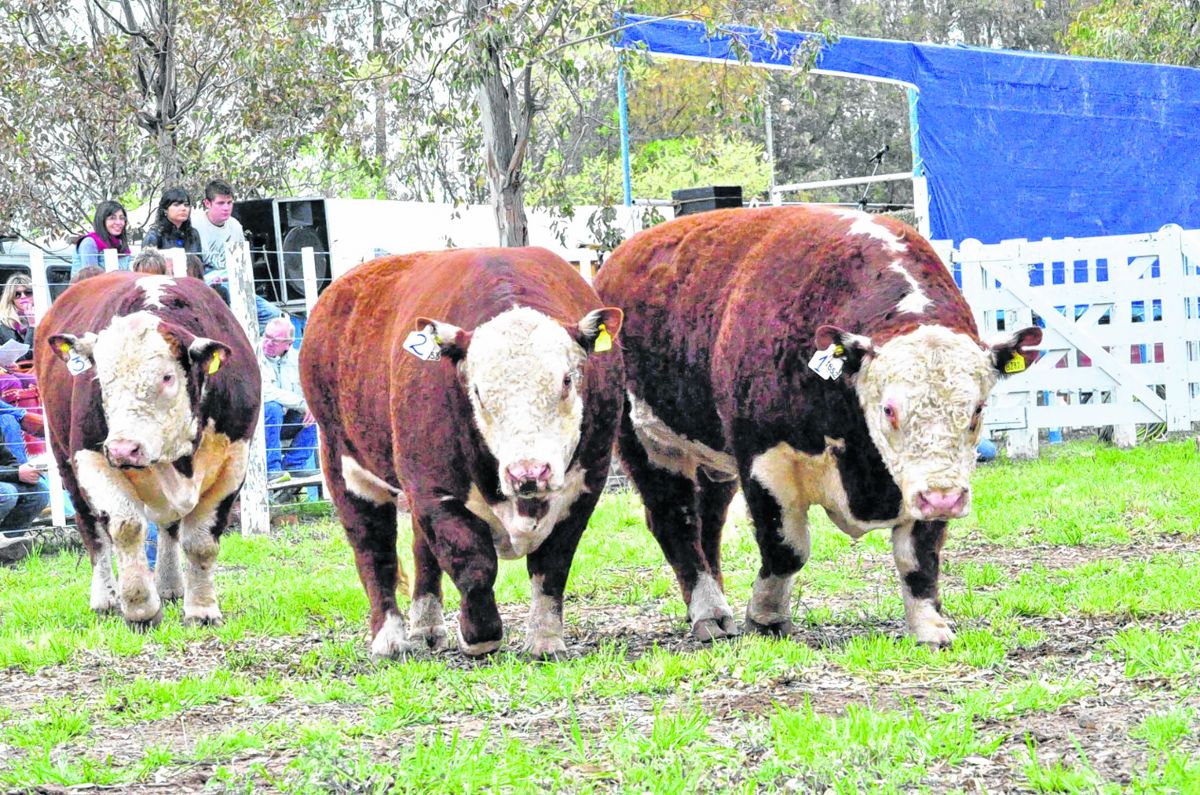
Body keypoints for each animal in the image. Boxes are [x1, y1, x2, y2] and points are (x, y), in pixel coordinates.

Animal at [35, 272, 260, 630]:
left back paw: (169, 585)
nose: (124, 449)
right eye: (101, 380)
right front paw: (141, 609)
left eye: (167, 377)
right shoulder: (91, 457)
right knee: (93, 531)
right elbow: (126, 527)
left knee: (169, 528)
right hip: (64, 461)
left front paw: (202, 610)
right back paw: (105, 599)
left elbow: (200, 542)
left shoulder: (233, 464)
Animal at [299, 247, 624, 659]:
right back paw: (389, 638)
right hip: (344, 463)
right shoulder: (434, 489)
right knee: (374, 549)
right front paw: (480, 634)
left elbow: (552, 565)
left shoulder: (585, 485)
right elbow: (473, 563)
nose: (528, 473)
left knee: (420, 548)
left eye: (567, 380)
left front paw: (545, 640)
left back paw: (426, 626)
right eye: (479, 392)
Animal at [593, 206, 1041, 647]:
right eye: (889, 409)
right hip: (647, 442)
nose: (944, 498)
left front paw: (930, 627)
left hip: (713, 460)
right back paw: (709, 612)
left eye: (977, 409)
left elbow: (919, 556)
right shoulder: (764, 459)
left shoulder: (931, 477)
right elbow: (786, 548)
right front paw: (766, 617)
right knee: (676, 521)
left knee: (710, 521)